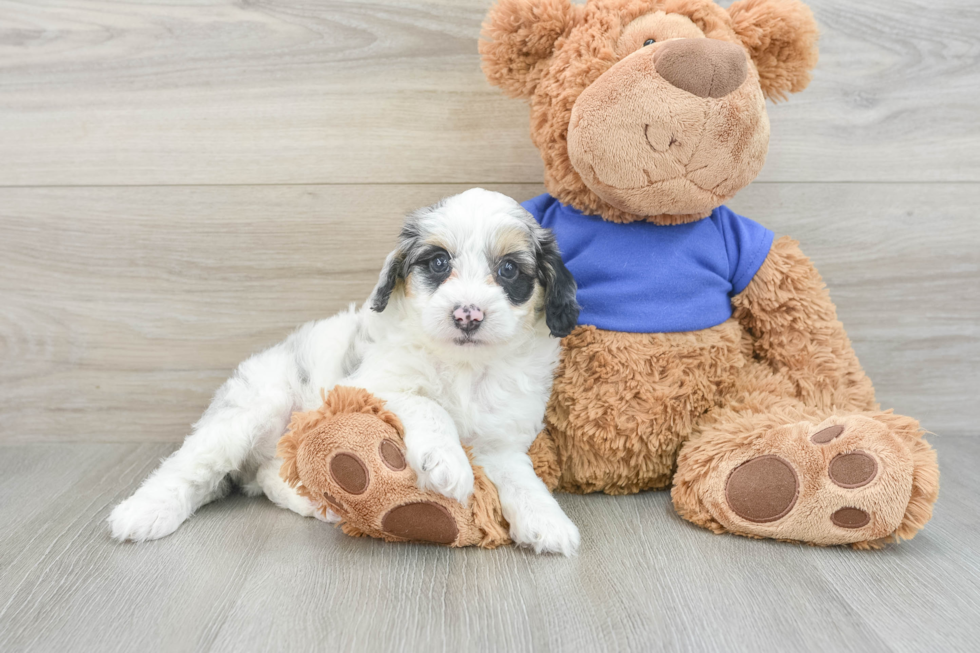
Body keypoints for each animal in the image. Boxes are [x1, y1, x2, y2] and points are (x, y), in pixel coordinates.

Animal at [107, 187, 580, 556]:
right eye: (439, 263)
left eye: (509, 270)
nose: (468, 314)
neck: (465, 366)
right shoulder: (369, 385)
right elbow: (428, 404)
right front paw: (448, 462)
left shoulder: (501, 440)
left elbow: (520, 476)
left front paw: (547, 520)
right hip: (254, 406)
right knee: (190, 466)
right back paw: (142, 512)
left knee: (268, 475)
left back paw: (315, 504)